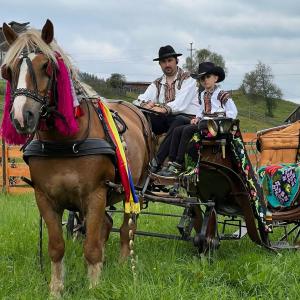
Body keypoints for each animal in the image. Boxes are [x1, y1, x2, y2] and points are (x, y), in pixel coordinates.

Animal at [0, 19, 152, 296]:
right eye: (9, 69)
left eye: (46, 65)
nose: (21, 117)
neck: (65, 142)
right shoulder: (45, 198)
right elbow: (57, 247)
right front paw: (56, 289)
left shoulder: (96, 194)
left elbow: (91, 247)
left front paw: (94, 288)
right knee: (105, 225)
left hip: (131, 189)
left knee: (126, 228)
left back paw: (122, 263)